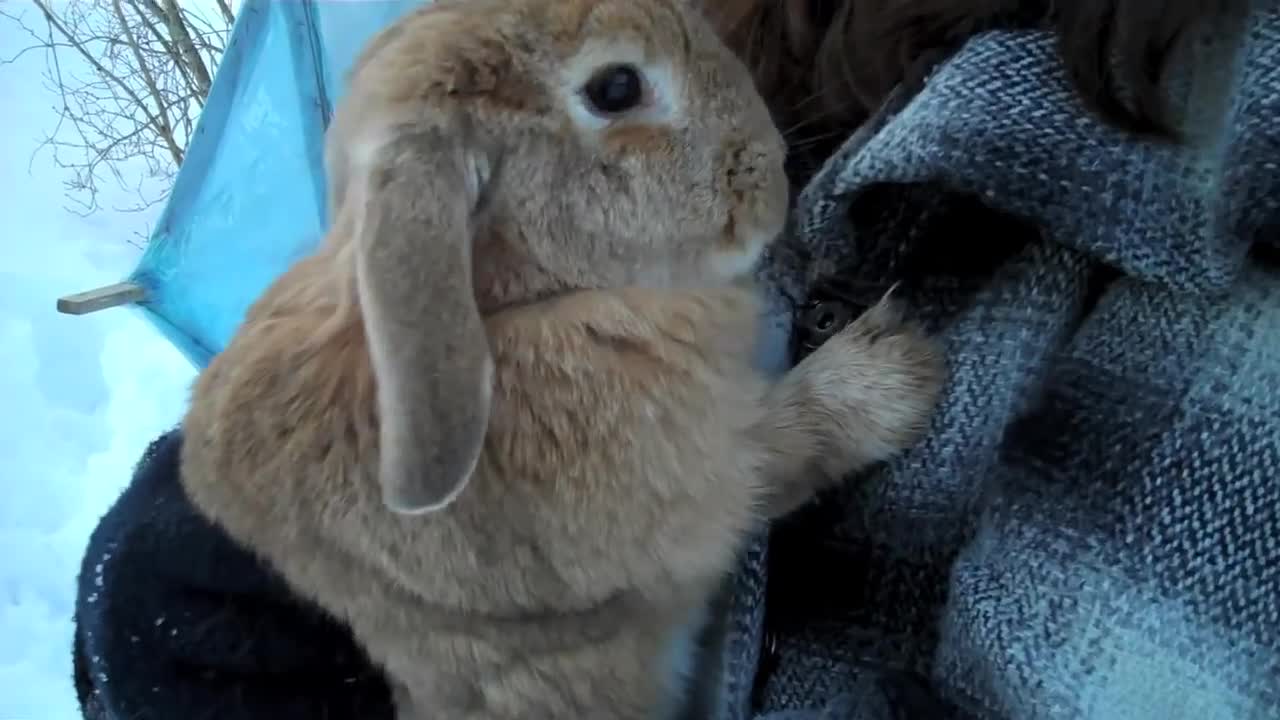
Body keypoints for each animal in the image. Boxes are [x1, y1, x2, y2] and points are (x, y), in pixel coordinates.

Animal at [175, 1, 947, 717]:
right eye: (616, 87)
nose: (775, 171)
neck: (524, 298)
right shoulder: (701, 478)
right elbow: (787, 451)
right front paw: (893, 372)